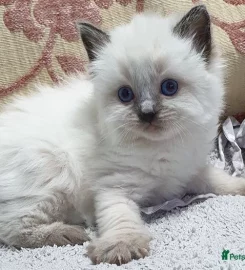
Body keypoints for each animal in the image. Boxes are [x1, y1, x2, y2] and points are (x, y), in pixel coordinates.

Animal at [0, 4, 245, 264]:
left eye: (169, 87)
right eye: (125, 95)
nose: (147, 114)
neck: (161, 148)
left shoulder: (190, 171)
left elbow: (221, 180)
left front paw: (240, 187)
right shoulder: (114, 187)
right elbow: (120, 219)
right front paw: (121, 246)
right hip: (53, 176)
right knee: (12, 227)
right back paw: (68, 234)